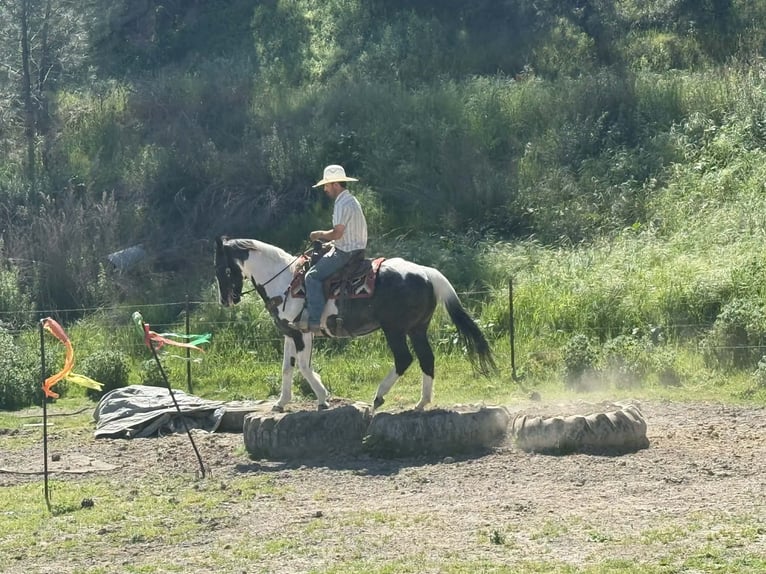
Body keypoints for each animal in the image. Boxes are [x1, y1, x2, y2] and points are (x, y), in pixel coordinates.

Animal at [214, 236, 495, 412]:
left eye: (223, 269)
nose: (226, 301)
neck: (285, 281)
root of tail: (427, 272)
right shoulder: (290, 333)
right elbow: (287, 368)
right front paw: (282, 403)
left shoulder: (302, 333)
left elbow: (303, 367)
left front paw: (323, 398)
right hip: (417, 329)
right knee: (427, 358)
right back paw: (421, 403)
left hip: (395, 330)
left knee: (404, 359)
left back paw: (379, 397)